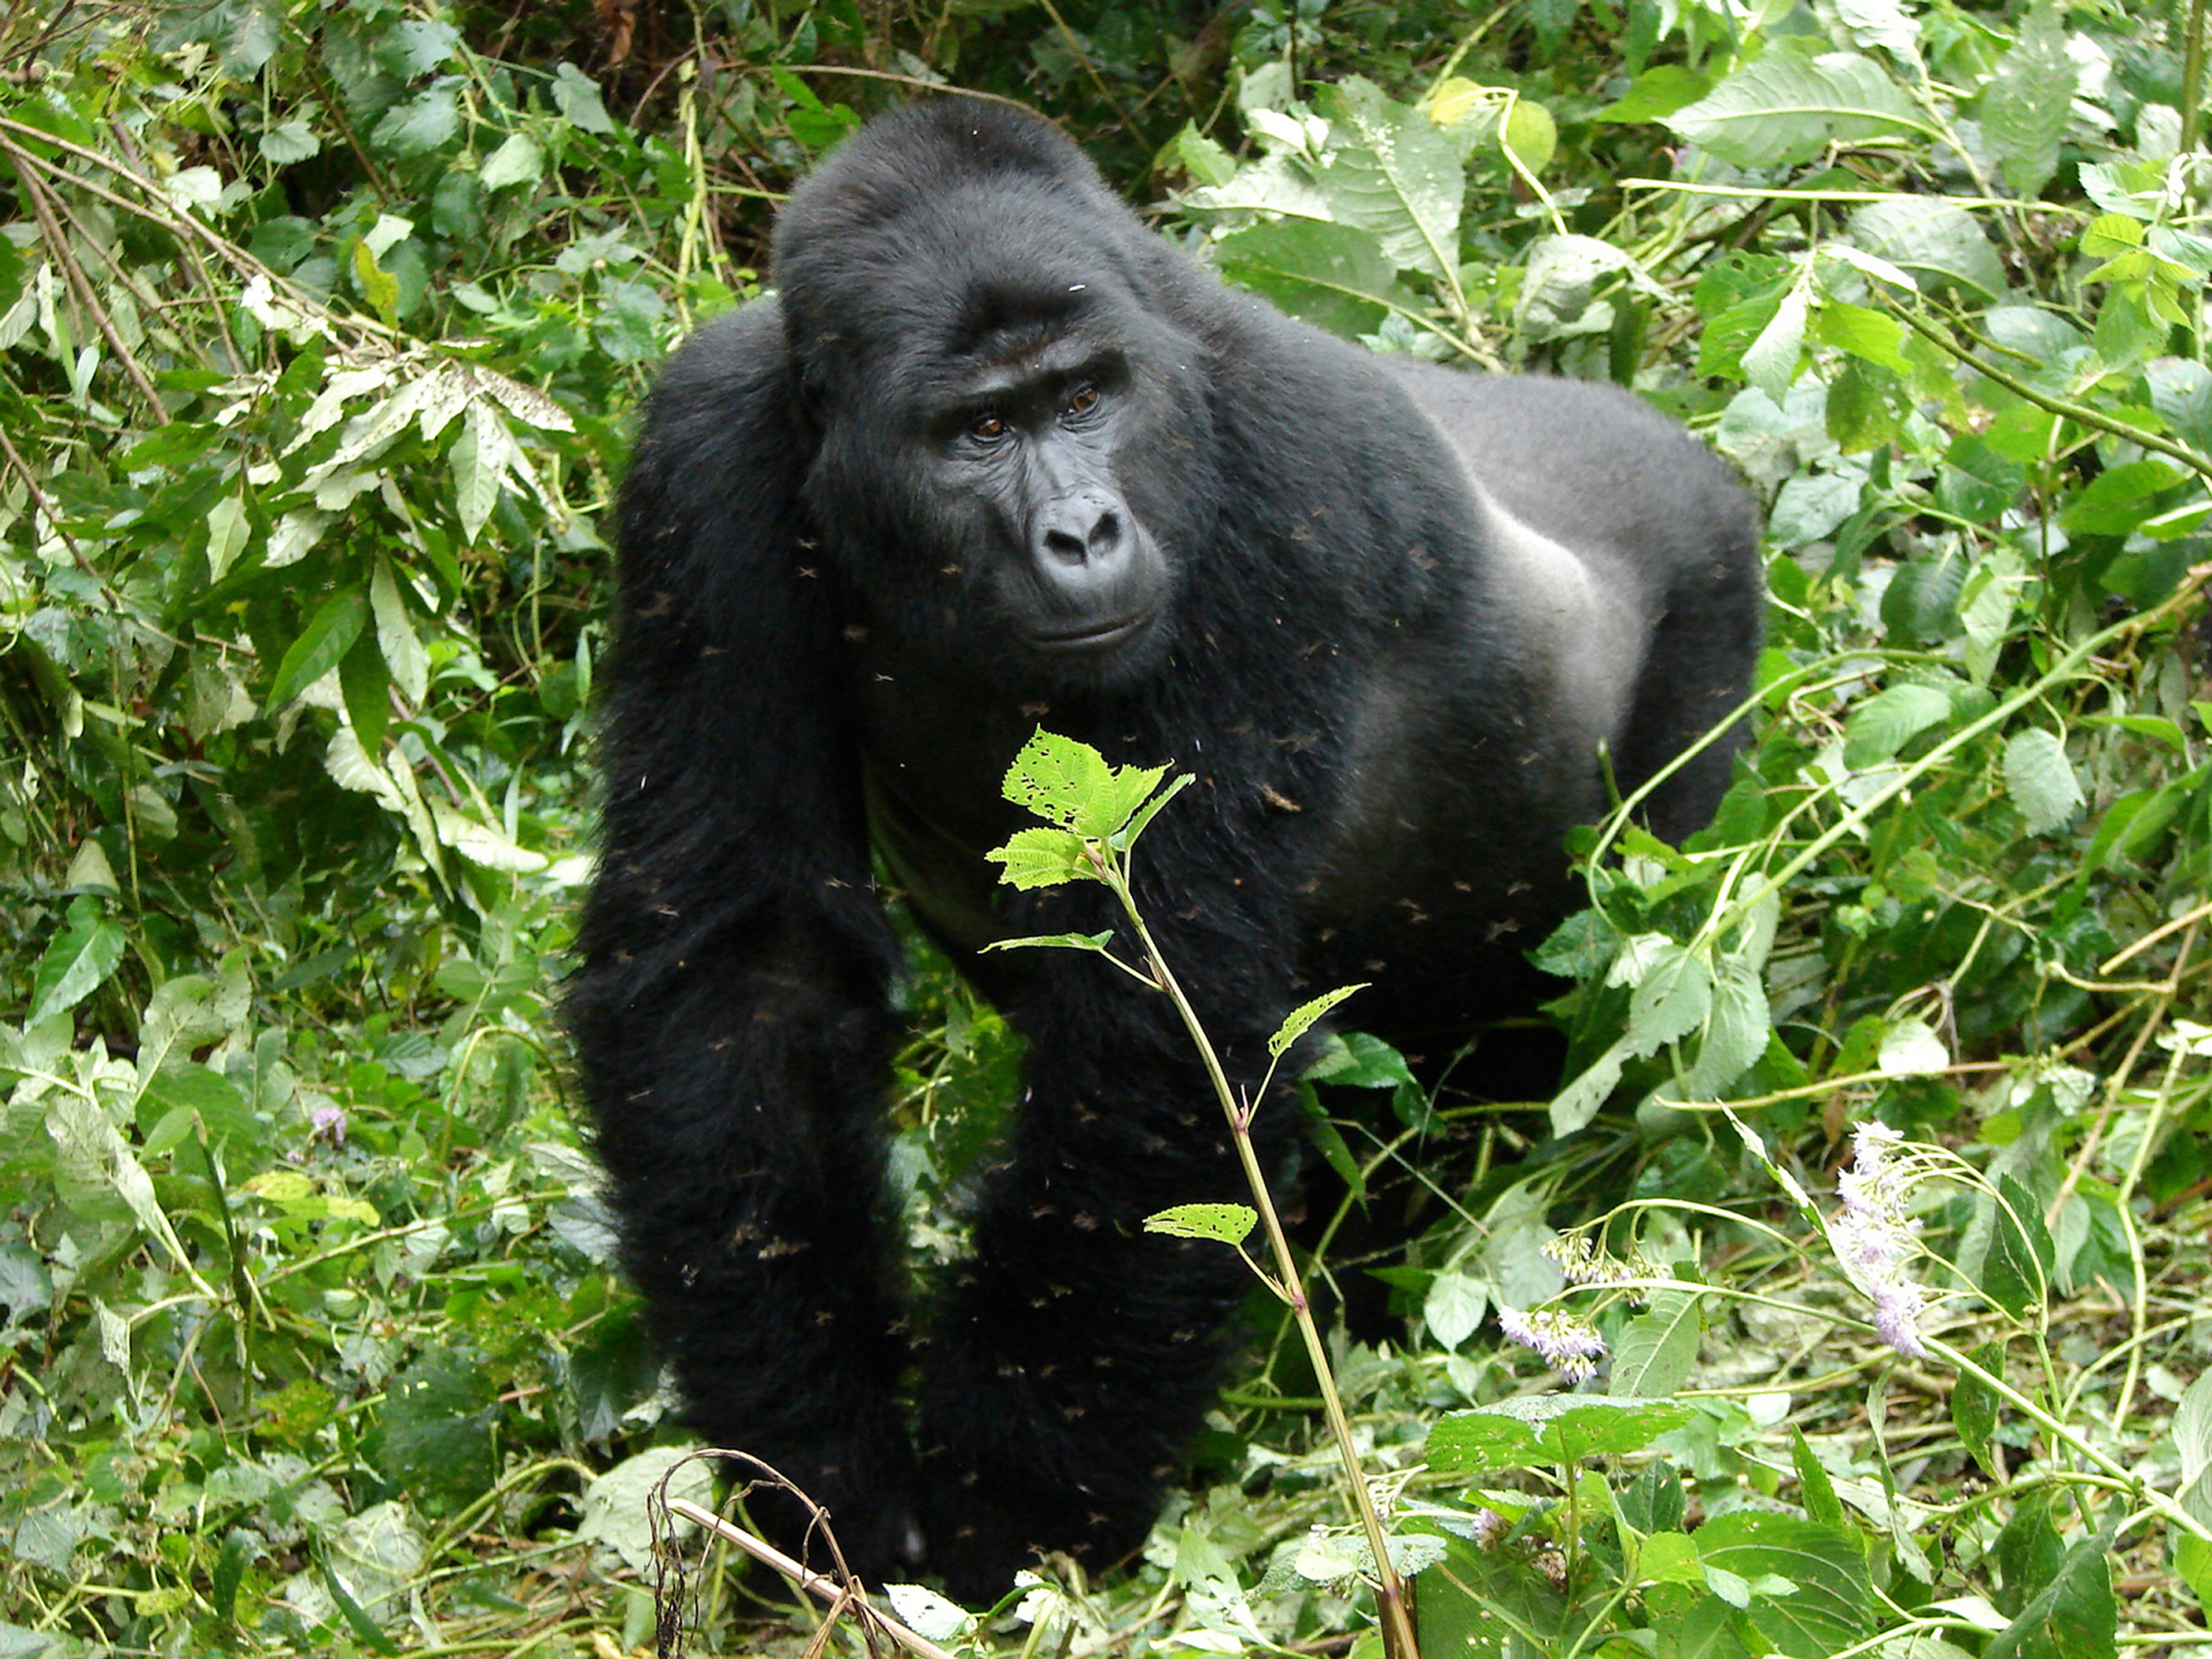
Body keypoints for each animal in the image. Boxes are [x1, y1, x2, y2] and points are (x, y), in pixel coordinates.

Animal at [570, 100, 1760, 1601]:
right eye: (980, 428)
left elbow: (1163, 1035)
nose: (1081, 531)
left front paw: (1012, 1505)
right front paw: (821, 1464)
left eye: (1084, 401)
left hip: (1704, 613)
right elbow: (745, 962)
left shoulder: (1287, 484)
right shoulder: (707, 450)